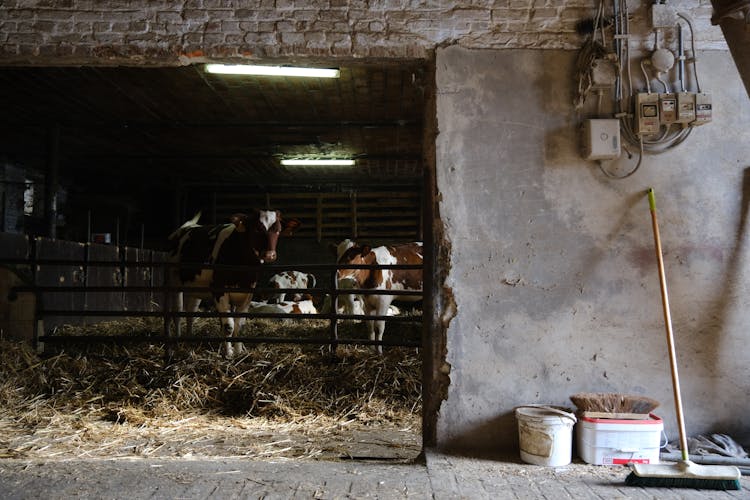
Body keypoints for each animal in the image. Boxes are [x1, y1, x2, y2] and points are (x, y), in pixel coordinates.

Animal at [170, 209, 300, 358]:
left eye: (278, 230)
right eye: (257, 229)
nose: (269, 255)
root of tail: (187, 227)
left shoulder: (247, 294)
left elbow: (239, 325)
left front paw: (238, 350)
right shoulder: (219, 291)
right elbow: (228, 326)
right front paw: (228, 353)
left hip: (195, 289)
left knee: (191, 312)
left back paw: (190, 337)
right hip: (174, 282)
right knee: (177, 312)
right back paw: (177, 341)